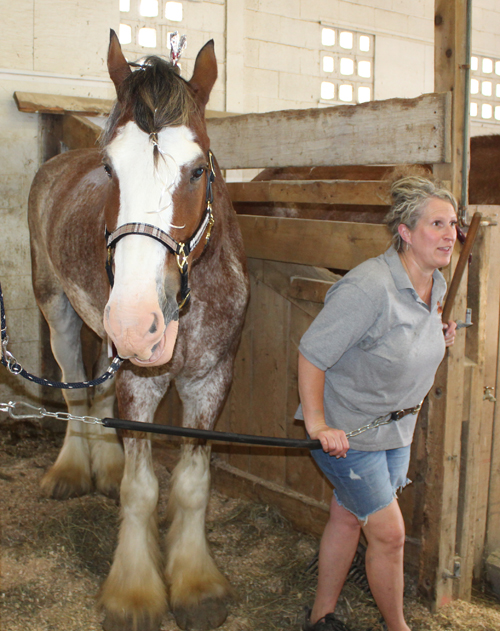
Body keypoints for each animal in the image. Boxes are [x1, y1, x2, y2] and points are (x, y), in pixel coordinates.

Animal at [26, 32, 248, 631]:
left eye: (198, 170)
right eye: (111, 168)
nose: (137, 318)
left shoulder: (210, 381)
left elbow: (191, 485)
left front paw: (197, 586)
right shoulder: (143, 384)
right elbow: (142, 489)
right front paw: (134, 593)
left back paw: (102, 464)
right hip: (59, 310)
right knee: (74, 390)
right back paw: (72, 471)